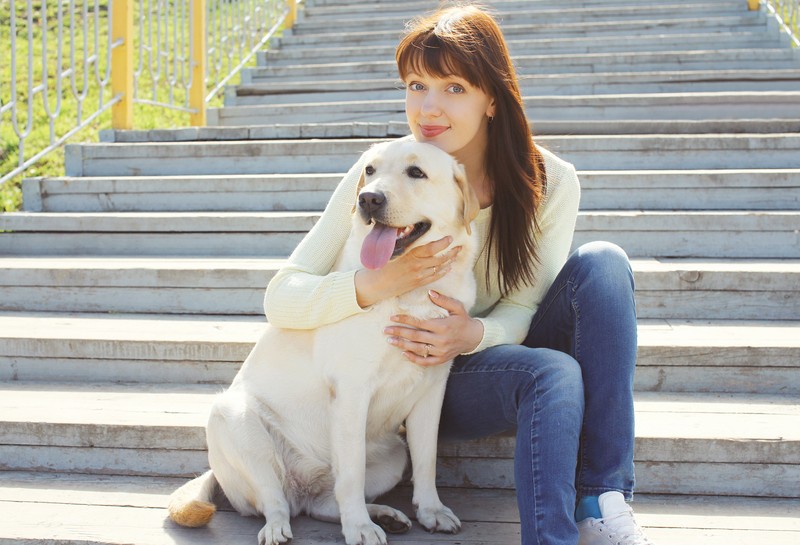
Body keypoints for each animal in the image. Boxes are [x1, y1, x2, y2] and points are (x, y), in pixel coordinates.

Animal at [169, 139, 478, 544]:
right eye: (369, 170)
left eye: (416, 172)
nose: (368, 199)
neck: (412, 292)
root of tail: (303, 486)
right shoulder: (351, 390)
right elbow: (352, 473)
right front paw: (359, 528)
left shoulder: (432, 387)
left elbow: (426, 460)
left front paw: (431, 511)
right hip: (233, 419)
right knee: (276, 499)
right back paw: (282, 526)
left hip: (394, 453)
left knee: (323, 503)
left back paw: (382, 514)